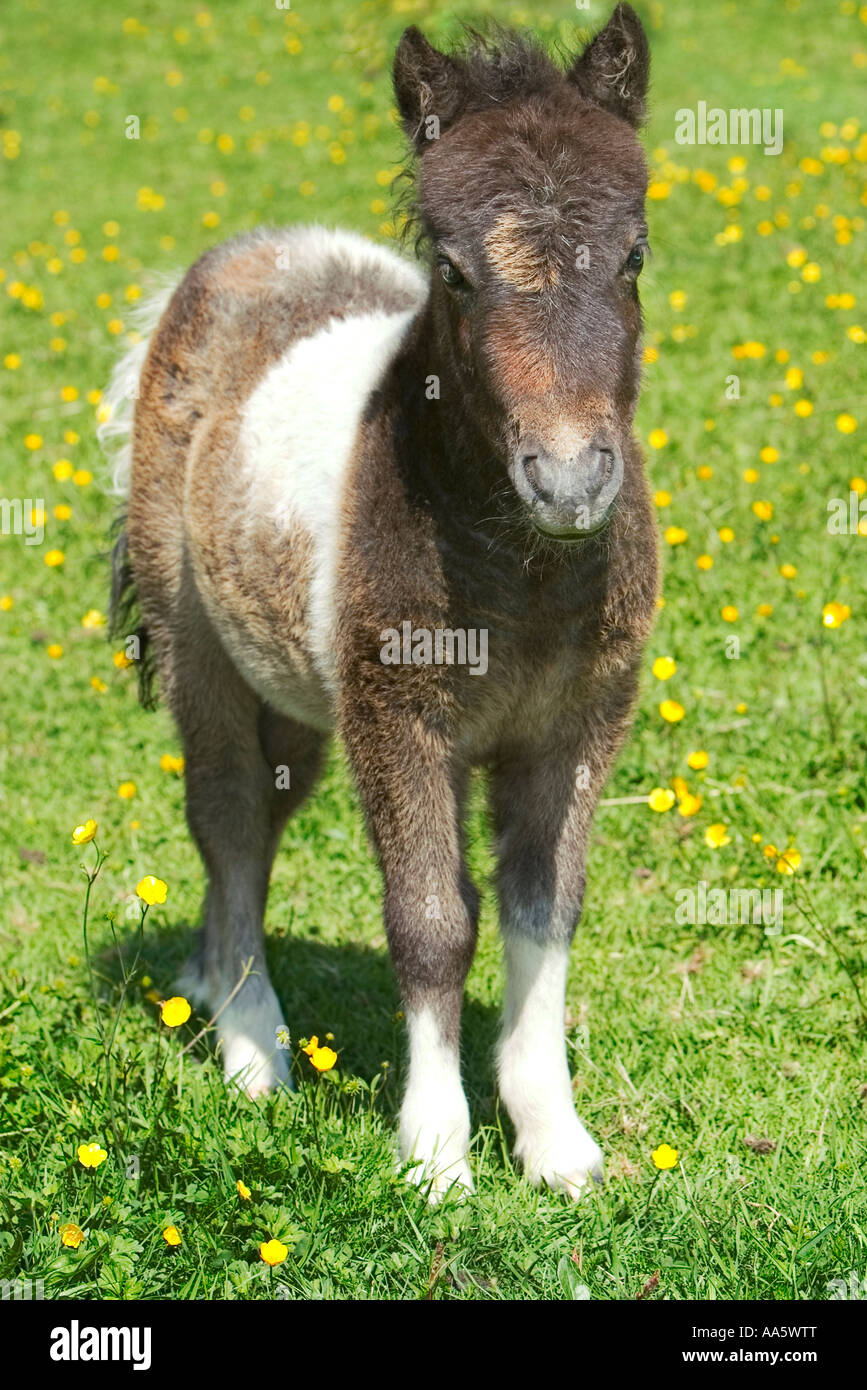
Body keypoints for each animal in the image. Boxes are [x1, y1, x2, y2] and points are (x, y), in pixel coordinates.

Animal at [102, 3, 658, 1199]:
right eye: (451, 269)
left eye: (636, 253)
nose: (570, 482)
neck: (519, 575)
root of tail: (235, 257)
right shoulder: (400, 720)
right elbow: (434, 921)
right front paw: (436, 1152)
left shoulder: (577, 726)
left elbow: (545, 910)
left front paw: (555, 1142)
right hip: (202, 651)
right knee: (226, 817)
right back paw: (252, 1049)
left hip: (297, 692)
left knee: (265, 812)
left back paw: (209, 986)